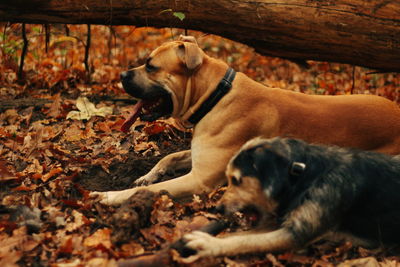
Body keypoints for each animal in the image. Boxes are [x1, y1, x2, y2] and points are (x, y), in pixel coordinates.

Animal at [93, 36, 400, 205]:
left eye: (151, 66)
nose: (121, 75)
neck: (214, 94)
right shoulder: (199, 154)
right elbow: (168, 158)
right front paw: (147, 175)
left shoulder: (200, 179)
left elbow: (149, 190)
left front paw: (107, 196)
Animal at [184, 138, 400, 260]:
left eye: (236, 180)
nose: (217, 209)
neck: (306, 176)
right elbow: (240, 235)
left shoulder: (297, 233)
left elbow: (247, 241)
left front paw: (209, 244)